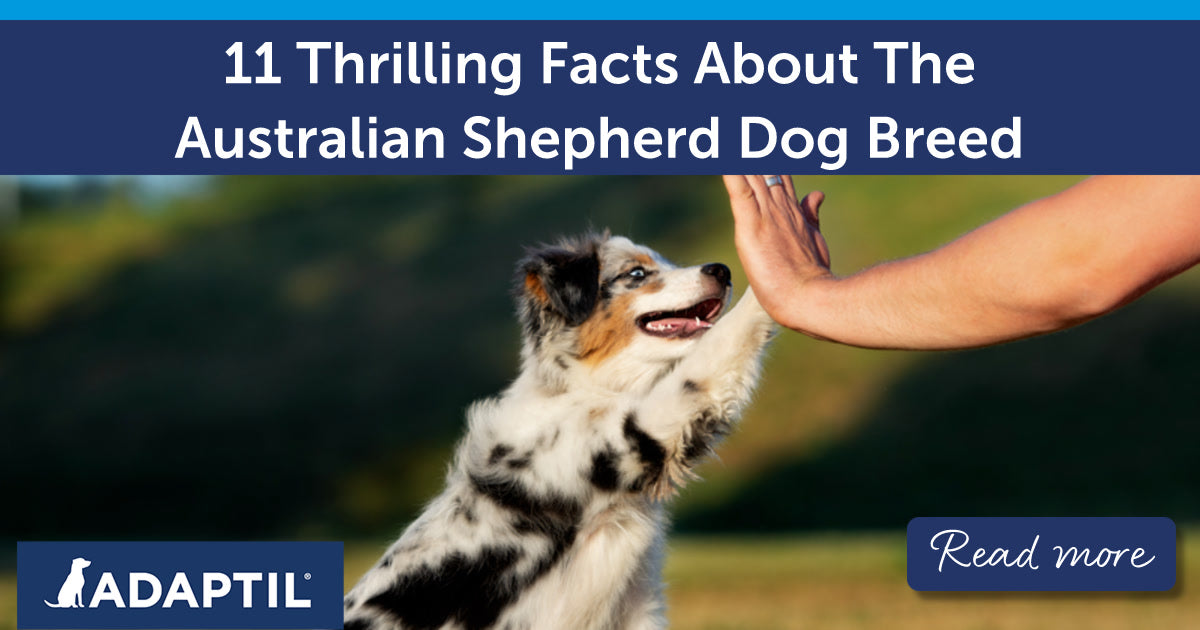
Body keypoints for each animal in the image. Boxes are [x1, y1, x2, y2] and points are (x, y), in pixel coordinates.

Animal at [343, 231, 777, 628]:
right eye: (637, 273)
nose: (721, 270)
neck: (583, 388)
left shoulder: (634, 609)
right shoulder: (636, 432)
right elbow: (713, 353)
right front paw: (772, 271)